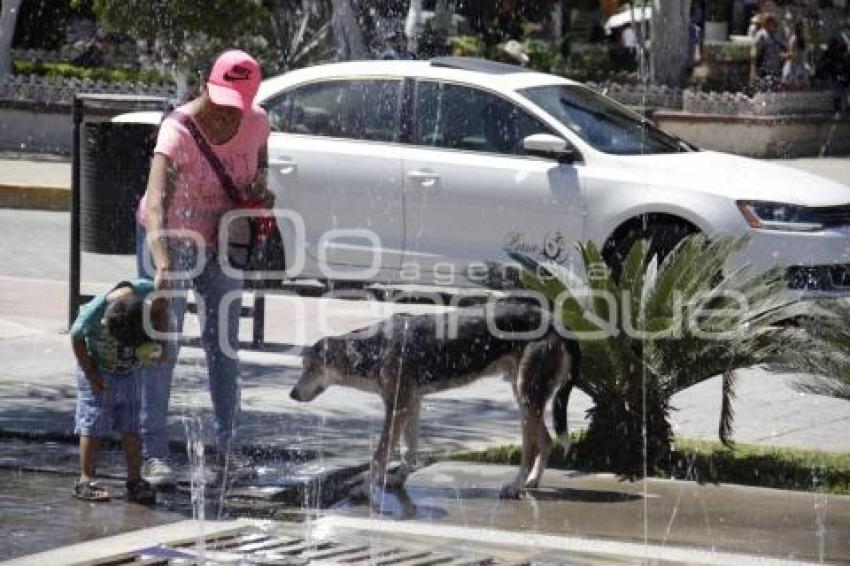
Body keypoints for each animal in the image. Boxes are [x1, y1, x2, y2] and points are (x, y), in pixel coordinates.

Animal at [290, 304, 576, 500]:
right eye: (303, 366)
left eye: (311, 368)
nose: (291, 394)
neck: (374, 349)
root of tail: (554, 321)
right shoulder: (411, 403)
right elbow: (409, 449)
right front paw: (398, 478)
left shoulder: (396, 408)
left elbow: (380, 453)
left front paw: (364, 487)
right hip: (526, 397)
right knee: (546, 441)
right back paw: (532, 481)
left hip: (527, 395)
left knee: (530, 447)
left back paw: (516, 485)